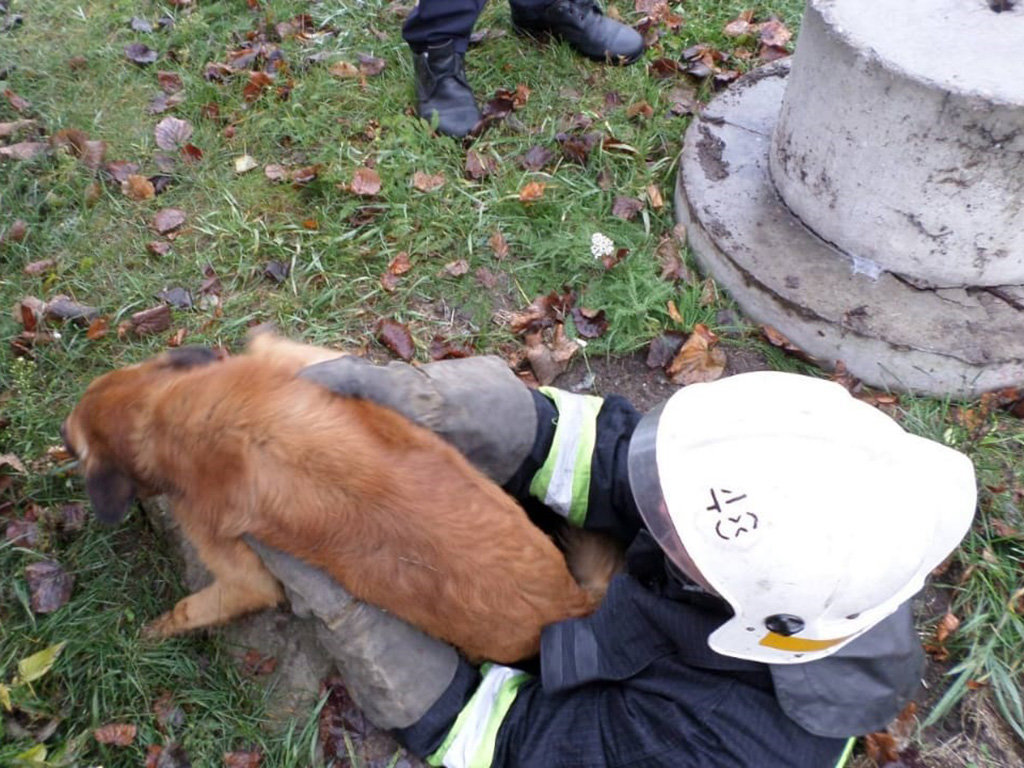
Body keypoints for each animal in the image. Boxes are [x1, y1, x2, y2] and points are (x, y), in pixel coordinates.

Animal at [66, 335, 614, 663]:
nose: (57, 437)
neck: (161, 413)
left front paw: (155, 629)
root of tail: (570, 600)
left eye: (72, 440)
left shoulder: (235, 563)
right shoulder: (298, 360)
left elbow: (199, 605)